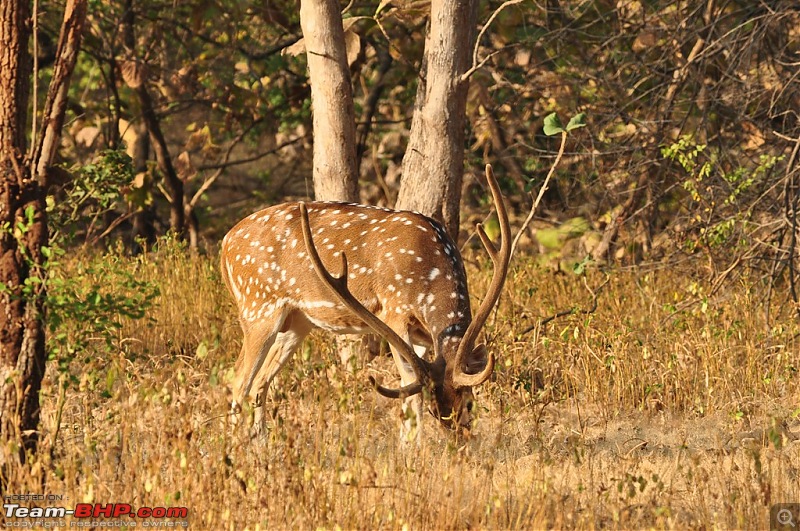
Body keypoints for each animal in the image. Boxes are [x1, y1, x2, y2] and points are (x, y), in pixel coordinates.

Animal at [222, 166, 510, 440]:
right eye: (435, 411)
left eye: (470, 402)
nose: (461, 442)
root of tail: (225, 244)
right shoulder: (394, 312)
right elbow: (410, 385)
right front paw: (413, 450)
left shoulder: (422, 335)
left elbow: (407, 387)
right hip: (258, 305)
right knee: (239, 379)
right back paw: (238, 446)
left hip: (297, 321)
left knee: (259, 382)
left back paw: (260, 444)